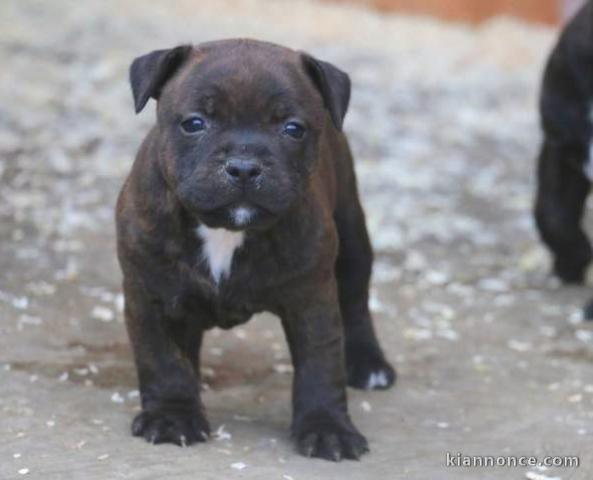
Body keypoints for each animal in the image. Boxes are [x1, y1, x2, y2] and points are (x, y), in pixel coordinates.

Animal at [115, 38, 394, 462]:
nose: (244, 166)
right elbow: (163, 359)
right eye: (194, 123)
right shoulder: (151, 296)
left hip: (351, 237)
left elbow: (320, 365)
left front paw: (327, 428)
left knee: (356, 301)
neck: (226, 230)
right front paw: (172, 416)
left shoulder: (312, 300)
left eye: (293, 129)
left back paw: (368, 364)